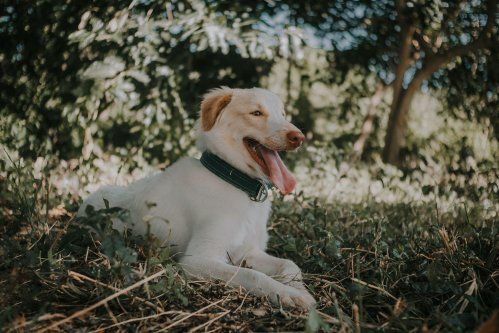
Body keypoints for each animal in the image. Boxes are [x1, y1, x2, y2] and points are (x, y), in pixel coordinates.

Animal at [78, 87, 316, 308]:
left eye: (283, 114)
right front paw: (288, 294)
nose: (299, 138)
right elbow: (253, 275)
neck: (235, 184)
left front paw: (299, 289)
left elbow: (290, 264)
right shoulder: (198, 260)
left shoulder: (248, 252)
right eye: (256, 113)